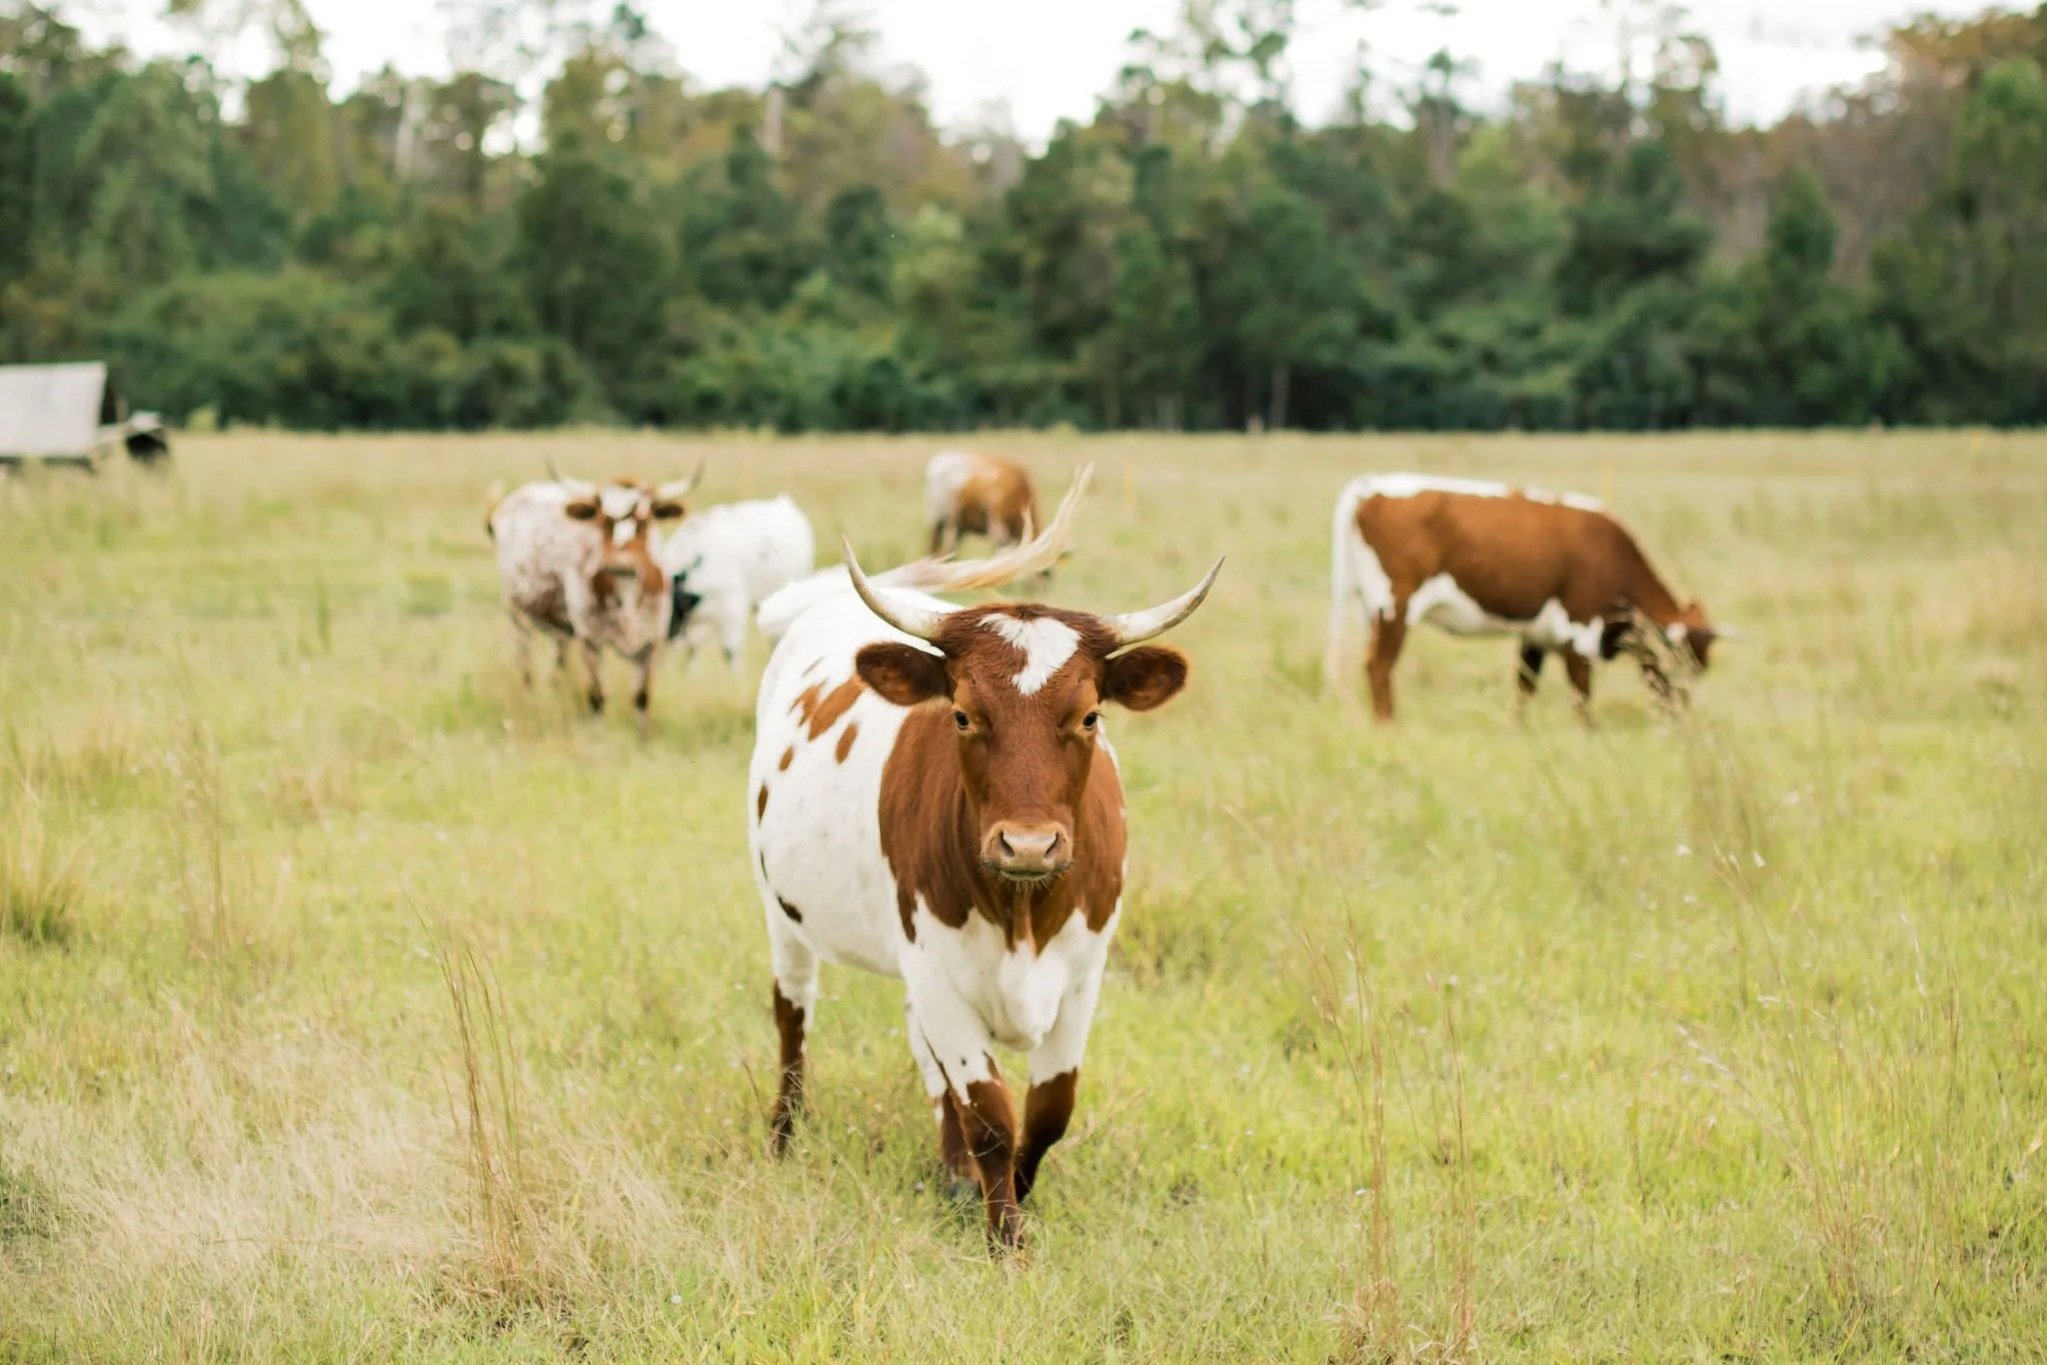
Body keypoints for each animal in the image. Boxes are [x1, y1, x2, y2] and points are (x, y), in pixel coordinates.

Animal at [486, 463, 701, 731]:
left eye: (644, 518)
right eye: (603, 519)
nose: (620, 564)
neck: (627, 596)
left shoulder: (652, 641)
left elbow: (642, 697)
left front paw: (643, 737)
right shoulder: (590, 640)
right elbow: (597, 696)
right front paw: (597, 735)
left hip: (561, 629)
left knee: (557, 667)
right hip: (516, 615)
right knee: (526, 668)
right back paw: (530, 699)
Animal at [748, 469, 1221, 1253]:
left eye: (1090, 715)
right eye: (964, 715)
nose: (1027, 844)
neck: (1021, 911)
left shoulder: (1083, 974)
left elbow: (1048, 1108)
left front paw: (1006, 1197)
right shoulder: (939, 970)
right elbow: (991, 1113)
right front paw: (1007, 1241)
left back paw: (950, 1170)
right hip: (783, 916)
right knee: (792, 1020)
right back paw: (783, 1138)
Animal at [1324, 472, 1725, 721]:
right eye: (1685, 661)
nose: (1682, 714)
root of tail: (1370, 485)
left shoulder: (1536, 637)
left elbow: (1524, 689)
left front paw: (1520, 730)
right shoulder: (1579, 633)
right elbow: (1581, 696)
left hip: (1372, 611)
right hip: (1394, 607)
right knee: (1379, 665)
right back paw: (1388, 726)